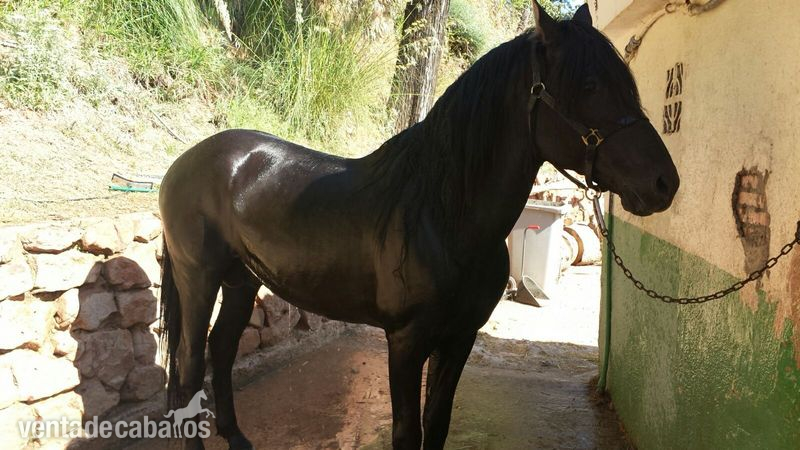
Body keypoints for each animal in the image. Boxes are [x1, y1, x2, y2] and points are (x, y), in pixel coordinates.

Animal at [158, 2, 679, 449]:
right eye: (590, 85)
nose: (665, 182)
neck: (444, 219)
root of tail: (184, 162)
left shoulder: (459, 338)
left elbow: (438, 423)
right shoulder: (406, 342)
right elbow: (408, 432)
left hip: (241, 280)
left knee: (221, 350)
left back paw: (238, 437)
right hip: (198, 278)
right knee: (188, 367)